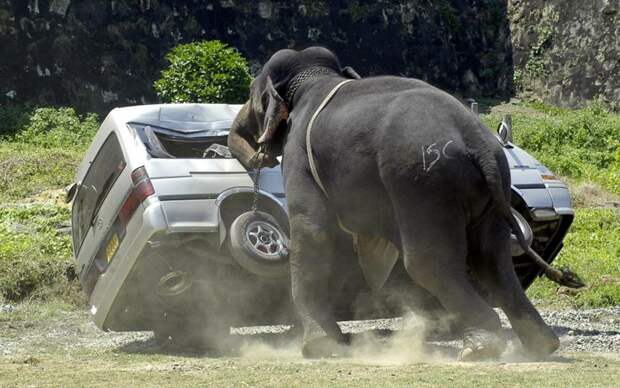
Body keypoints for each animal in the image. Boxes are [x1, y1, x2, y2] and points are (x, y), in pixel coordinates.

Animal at [228, 47, 580, 360]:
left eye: (253, 96)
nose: (255, 154)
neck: (316, 77)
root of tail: (479, 145)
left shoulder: (299, 152)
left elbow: (313, 230)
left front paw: (320, 349)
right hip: (490, 190)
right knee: (493, 258)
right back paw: (541, 345)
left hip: (422, 183)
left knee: (428, 262)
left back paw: (481, 348)